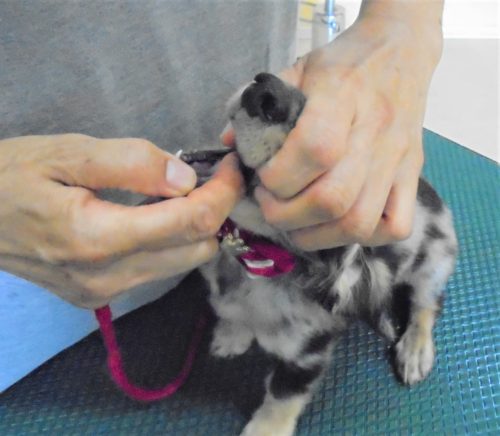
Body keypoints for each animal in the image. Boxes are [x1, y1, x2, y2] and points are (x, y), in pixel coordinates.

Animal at [200, 73, 458, 436]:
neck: (256, 263)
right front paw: (232, 335)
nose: (267, 87)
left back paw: (415, 349)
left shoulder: (308, 355)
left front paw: (267, 429)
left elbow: (283, 397)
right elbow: (232, 314)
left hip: (433, 264)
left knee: (427, 305)